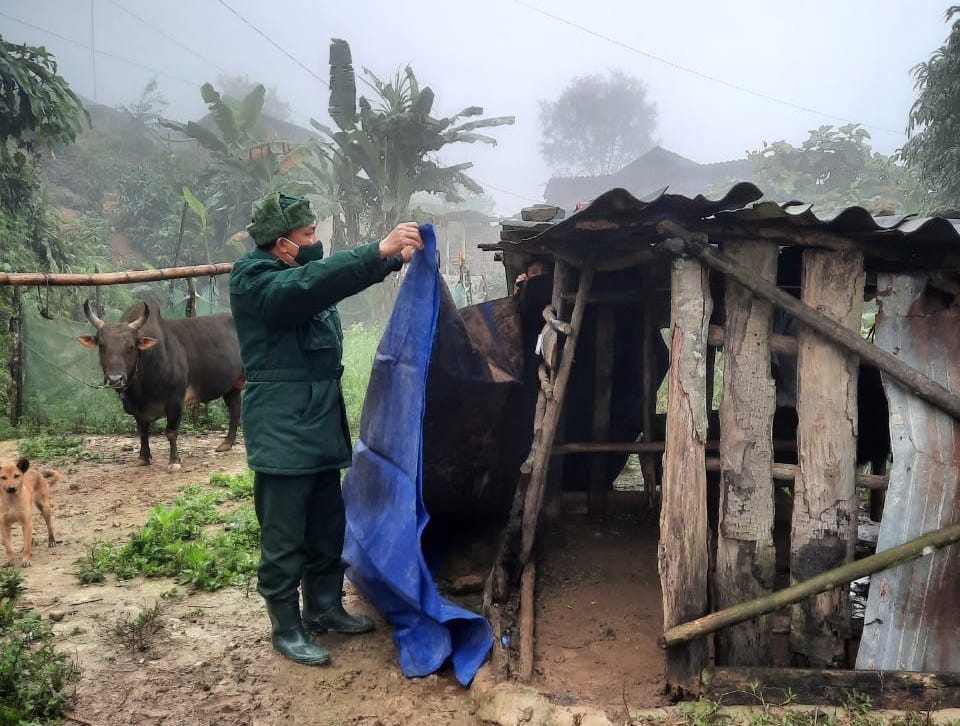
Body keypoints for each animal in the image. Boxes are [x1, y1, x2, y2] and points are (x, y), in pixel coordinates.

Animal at [78, 302, 244, 472]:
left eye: (131, 346)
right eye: (102, 345)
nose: (115, 379)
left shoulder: (175, 401)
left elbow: (171, 432)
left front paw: (174, 460)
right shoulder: (137, 410)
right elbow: (143, 432)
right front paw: (143, 458)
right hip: (232, 388)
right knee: (235, 411)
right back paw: (227, 443)